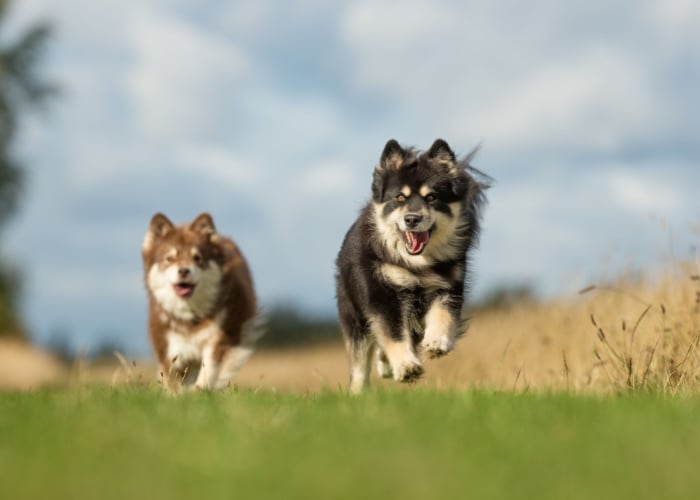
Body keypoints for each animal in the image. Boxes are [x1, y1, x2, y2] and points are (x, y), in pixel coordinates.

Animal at [141, 211, 258, 390]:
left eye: (197, 258)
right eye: (169, 258)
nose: (183, 271)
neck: (190, 316)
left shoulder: (220, 337)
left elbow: (208, 371)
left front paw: (198, 391)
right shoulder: (168, 346)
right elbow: (172, 377)